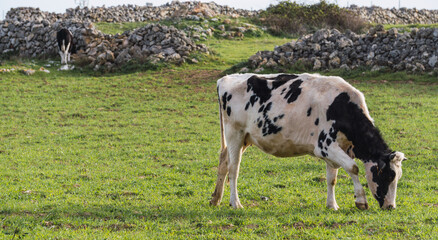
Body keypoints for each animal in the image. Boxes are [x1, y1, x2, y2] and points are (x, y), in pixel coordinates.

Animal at [210, 73, 406, 210]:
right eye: (390, 176)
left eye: (398, 176)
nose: (391, 207)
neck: (342, 107)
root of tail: (225, 79)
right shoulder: (325, 145)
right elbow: (353, 167)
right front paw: (361, 201)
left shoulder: (336, 149)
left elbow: (332, 178)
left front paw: (332, 205)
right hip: (235, 133)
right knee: (234, 168)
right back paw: (235, 203)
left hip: (245, 138)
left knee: (224, 161)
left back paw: (216, 199)